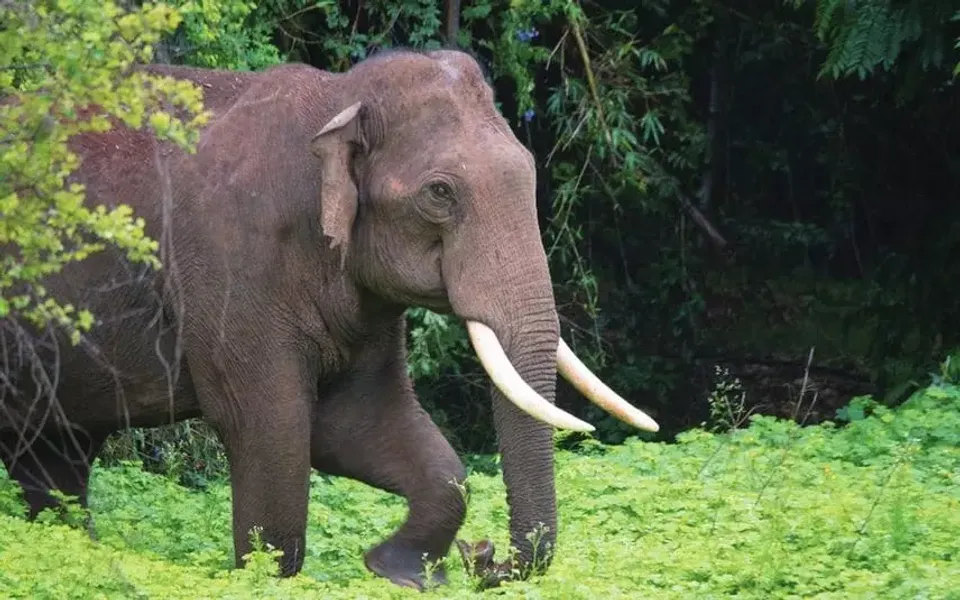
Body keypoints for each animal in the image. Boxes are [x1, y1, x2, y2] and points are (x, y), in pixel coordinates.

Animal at [0, 48, 658, 589]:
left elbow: (363, 426)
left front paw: (396, 571)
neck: (338, 98)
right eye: (439, 193)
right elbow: (272, 429)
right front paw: (268, 578)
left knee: (55, 461)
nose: (483, 556)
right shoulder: (234, 265)